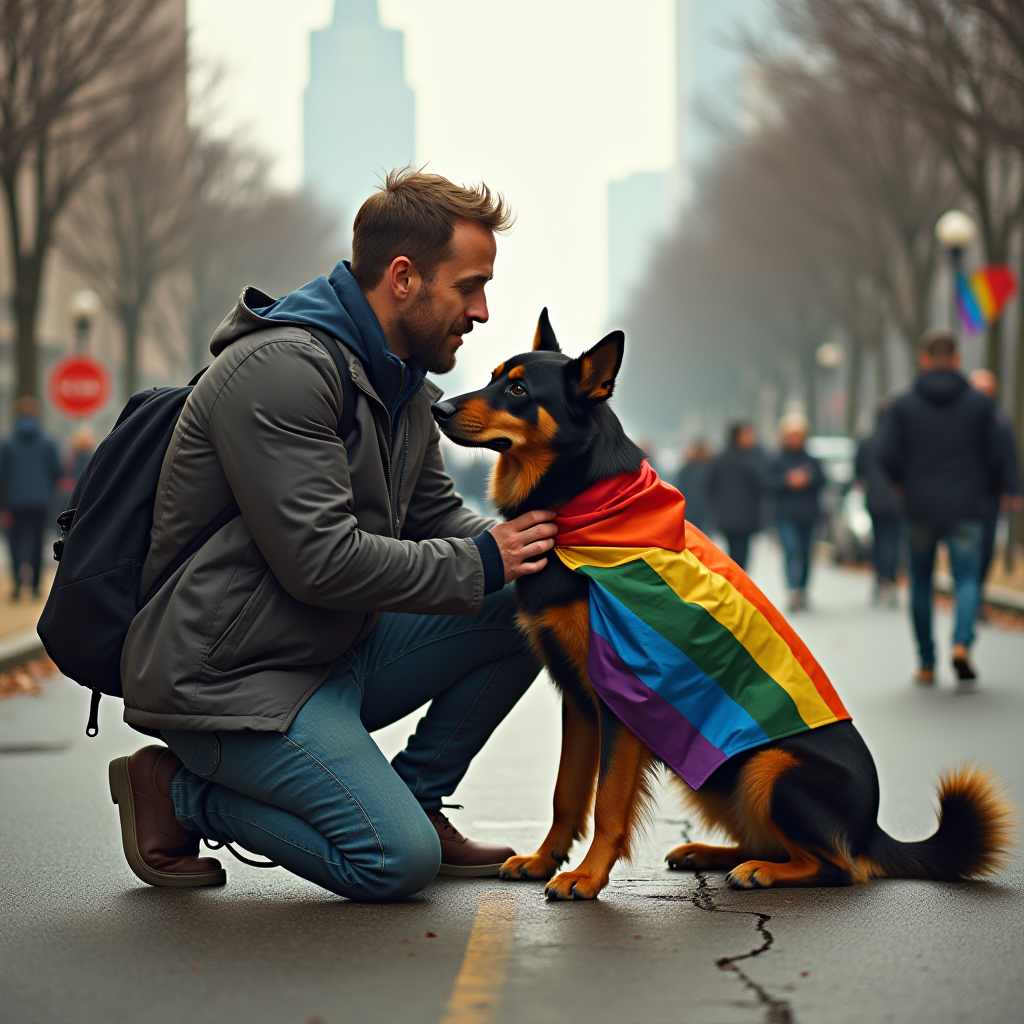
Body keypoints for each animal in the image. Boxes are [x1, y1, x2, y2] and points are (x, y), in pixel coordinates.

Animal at [432, 307, 1015, 901]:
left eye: (519, 389)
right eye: (494, 377)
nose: (438, 408)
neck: (585, 507)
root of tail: (871, 830)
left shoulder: (623, 701)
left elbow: (608, 802)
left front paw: (587, 876)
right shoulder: (578, 700)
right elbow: (566, 793)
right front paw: (545, 858)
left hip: (770, 767)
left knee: (839, 866)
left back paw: (764, 871)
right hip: (722, 779)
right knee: (778, 844)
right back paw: (713, 853)